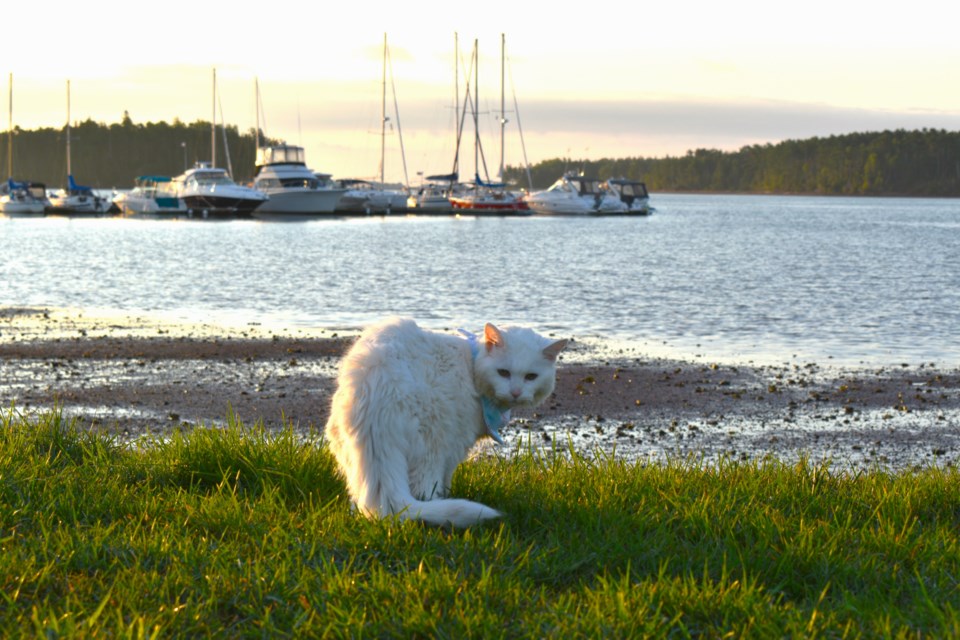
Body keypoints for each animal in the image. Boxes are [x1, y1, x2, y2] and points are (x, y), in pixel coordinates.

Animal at [324, 318, 564, 528]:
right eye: (503, 372)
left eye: (531, 377)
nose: (515, 392)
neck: (472, 364)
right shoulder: (457, 443)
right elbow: (447, 477)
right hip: (434, 443)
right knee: (423, 491)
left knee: (365, 501)